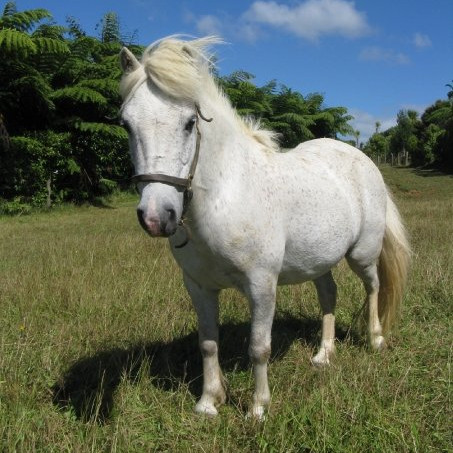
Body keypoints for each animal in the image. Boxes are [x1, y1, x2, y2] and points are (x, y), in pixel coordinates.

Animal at [117, 37, 410, 418]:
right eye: (126, 124)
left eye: (189, 122)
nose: (157, 216)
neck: (227, 196)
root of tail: (363, 159)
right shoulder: (198, 287)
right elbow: (208, 343)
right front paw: (209, 402)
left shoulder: (261, 286)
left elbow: (259, 347)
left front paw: (258, 408)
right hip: (319, 261)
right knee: (329, 295)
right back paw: (324, 354)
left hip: (362, 254)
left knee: (373, 287)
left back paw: (375, 339)